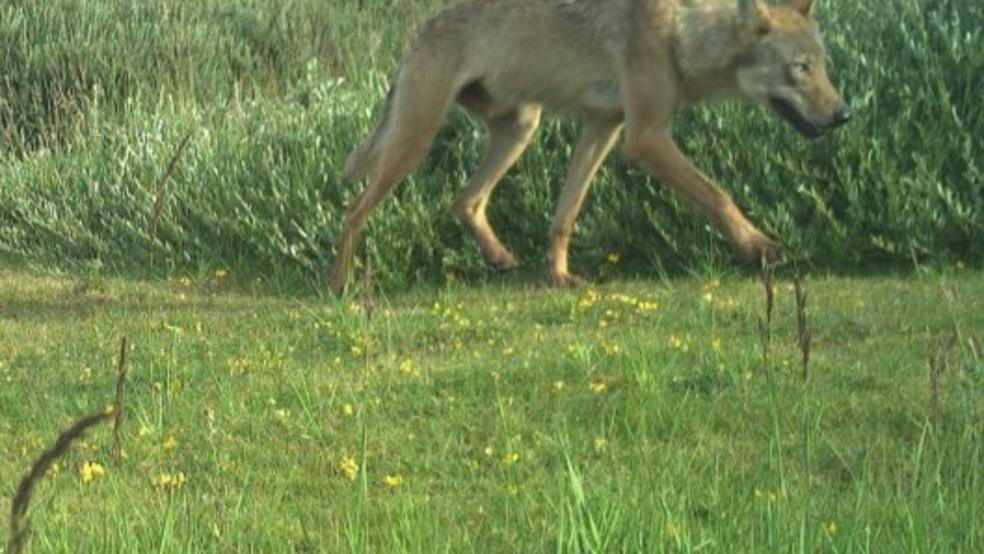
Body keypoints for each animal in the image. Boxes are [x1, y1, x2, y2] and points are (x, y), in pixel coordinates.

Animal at [331, 0, 851, 294]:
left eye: (823, 65)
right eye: (800, 68)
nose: (845, 115)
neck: (683, 34)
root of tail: (418, 32)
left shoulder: (603, 127)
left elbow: (565, 216)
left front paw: (558, 278)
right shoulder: (645, 139)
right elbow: (718, 196)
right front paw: (760, 248)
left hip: (521, 128)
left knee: (465, 201)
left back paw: (499, 258)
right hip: (414, 144)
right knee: (353, 212)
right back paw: (342, 287)